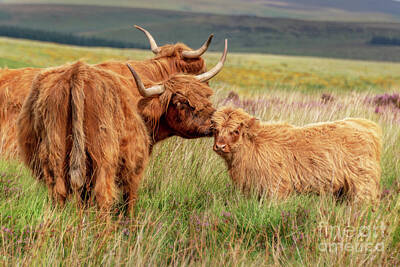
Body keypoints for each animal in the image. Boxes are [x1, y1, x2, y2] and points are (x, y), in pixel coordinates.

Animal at [15, 40, 227, 214]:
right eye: (181, 102)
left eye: (203, 96)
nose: (215, 121)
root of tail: (78, 73)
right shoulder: (135, 163)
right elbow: (129, 200)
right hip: (103, 158)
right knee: (103, 197)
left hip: (55, 154)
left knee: (58, 193)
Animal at [211, 106, 382, 201]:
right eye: (215, 129)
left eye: (235, 131)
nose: (220, 146)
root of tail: (367, 125)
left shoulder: (277, 187)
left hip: (363, 184)